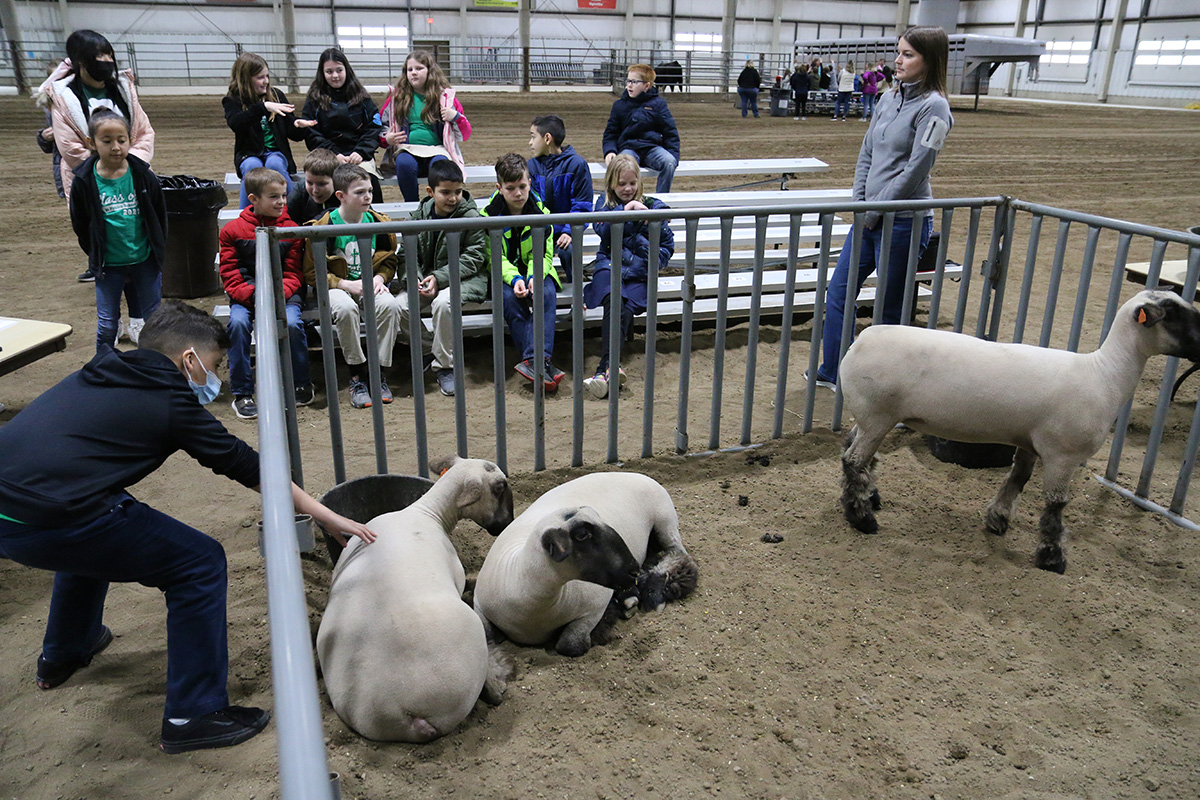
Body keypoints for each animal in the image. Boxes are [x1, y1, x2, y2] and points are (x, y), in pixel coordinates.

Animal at [316, 460, 513, 743]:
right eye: (499, 487)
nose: (507, 523)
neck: (428, 512)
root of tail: (399, 714)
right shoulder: (457, 573)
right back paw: (498, 680)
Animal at [472, 474, 700, 657]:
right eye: (582, 535)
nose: (633, 570)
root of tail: (635, 473)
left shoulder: (593, 608)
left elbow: (571, 646)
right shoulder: (479, 606)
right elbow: (488, 635)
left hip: (665, 521)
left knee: (677, 553)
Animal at [840, 289, 1200, 575]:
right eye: (1176, 315)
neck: (1105, 374)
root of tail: (860, 341)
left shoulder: (1029, 443)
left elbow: (1016, 480)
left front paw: (997, 520)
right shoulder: (1062, 454)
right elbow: (1055, 507)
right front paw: (1052, 559)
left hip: (873, 417)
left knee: (855, 451)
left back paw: (869, 498)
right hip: (878, 415)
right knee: (854, 461)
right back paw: (862, 518)